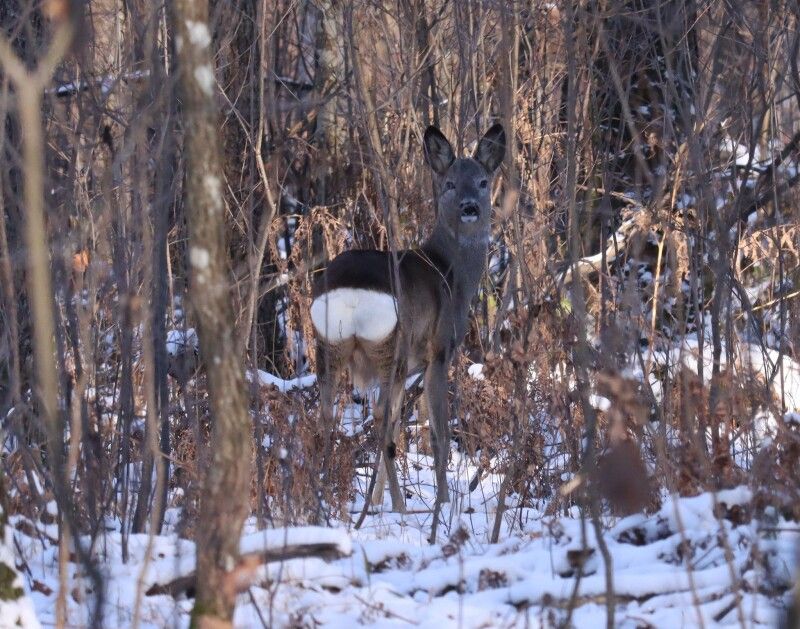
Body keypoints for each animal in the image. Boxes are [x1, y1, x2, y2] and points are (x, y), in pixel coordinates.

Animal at [310, 122, 504, 516]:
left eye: (482, 181)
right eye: (449, 184)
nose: (470, 208)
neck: (451, 273)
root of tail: (350, 292)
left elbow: (402, 423)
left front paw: (377, 500)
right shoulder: (439, 351)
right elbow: (438, 433)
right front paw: (443, 501)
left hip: (330, 345)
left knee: (329, 417)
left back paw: (330, 501)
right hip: (391, 345)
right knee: (381, 415)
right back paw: (400, 506)